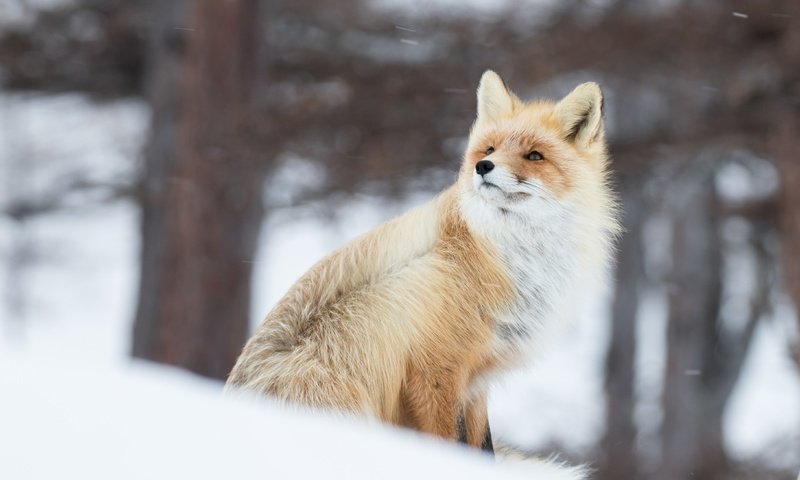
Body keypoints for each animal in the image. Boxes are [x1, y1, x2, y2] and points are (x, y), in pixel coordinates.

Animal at [225, 69, 620, 460]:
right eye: (490, 149)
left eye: (535, 155)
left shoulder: (476, 379)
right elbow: (451, 443)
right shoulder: (434, 372)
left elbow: (483, 447)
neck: (500, 255)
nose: (483, 167)